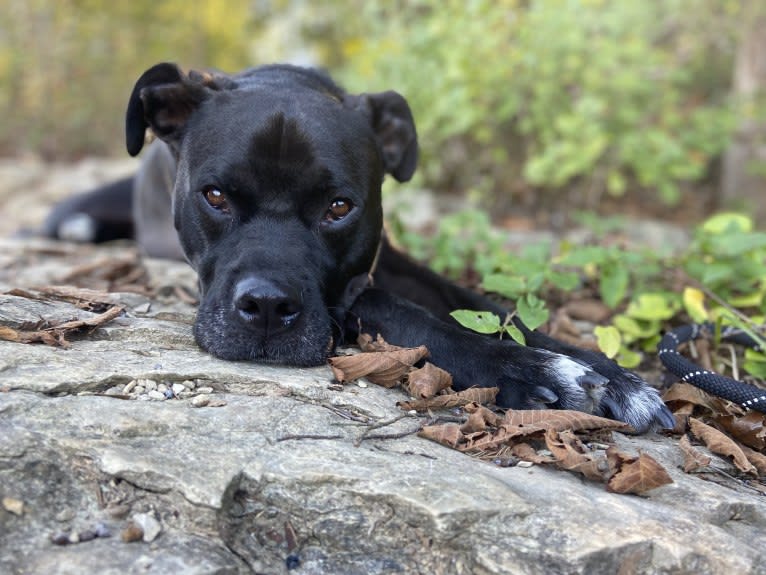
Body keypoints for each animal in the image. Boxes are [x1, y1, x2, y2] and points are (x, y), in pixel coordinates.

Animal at [45, 63, 676, 432]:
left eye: (338, 207)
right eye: (216, 196)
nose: (267, 309)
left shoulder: (385, 257)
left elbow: (484, 304)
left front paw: (608, 372)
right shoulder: (354, 295)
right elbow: (407, 313)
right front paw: (527, 368)